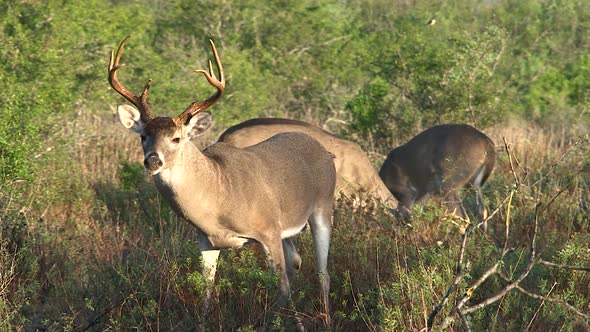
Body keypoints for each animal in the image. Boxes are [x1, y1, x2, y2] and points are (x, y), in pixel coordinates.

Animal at [108, 36, 336, 330]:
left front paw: (282, 323)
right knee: (297, 262)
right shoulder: (206, 240)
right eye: (143, 136)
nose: (153, 161)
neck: (218, 195)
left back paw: (325, 319)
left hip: (323, 206)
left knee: (322, 273)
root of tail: (325, 151)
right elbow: (206, 291)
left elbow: (282, 287)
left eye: (176, 138)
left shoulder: (267, 229)